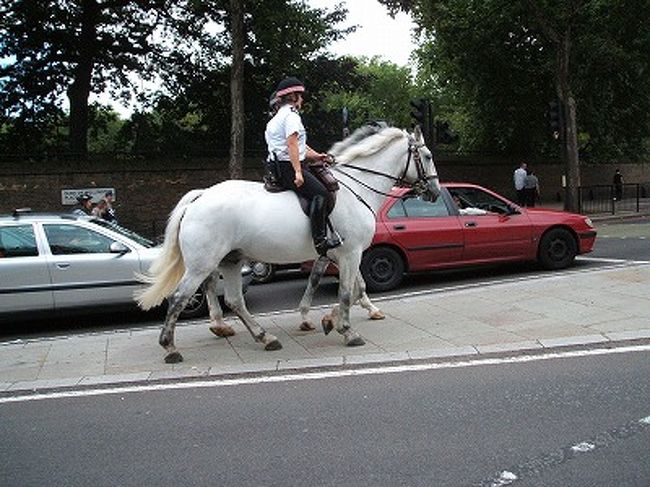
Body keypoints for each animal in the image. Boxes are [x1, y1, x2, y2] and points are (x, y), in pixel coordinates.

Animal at [135, 124, 440, 363]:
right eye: (427, 156)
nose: (435, 192)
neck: (357, 187)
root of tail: (199, 197)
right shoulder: (350, 253)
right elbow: (346, 293)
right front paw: (346, 330)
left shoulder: (340, 255)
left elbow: (352, 289)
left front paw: (329, 320)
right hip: (202, 263)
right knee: (179, 297)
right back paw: (171, 347)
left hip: (231, 260)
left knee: (233, 300)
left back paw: (263, 336)